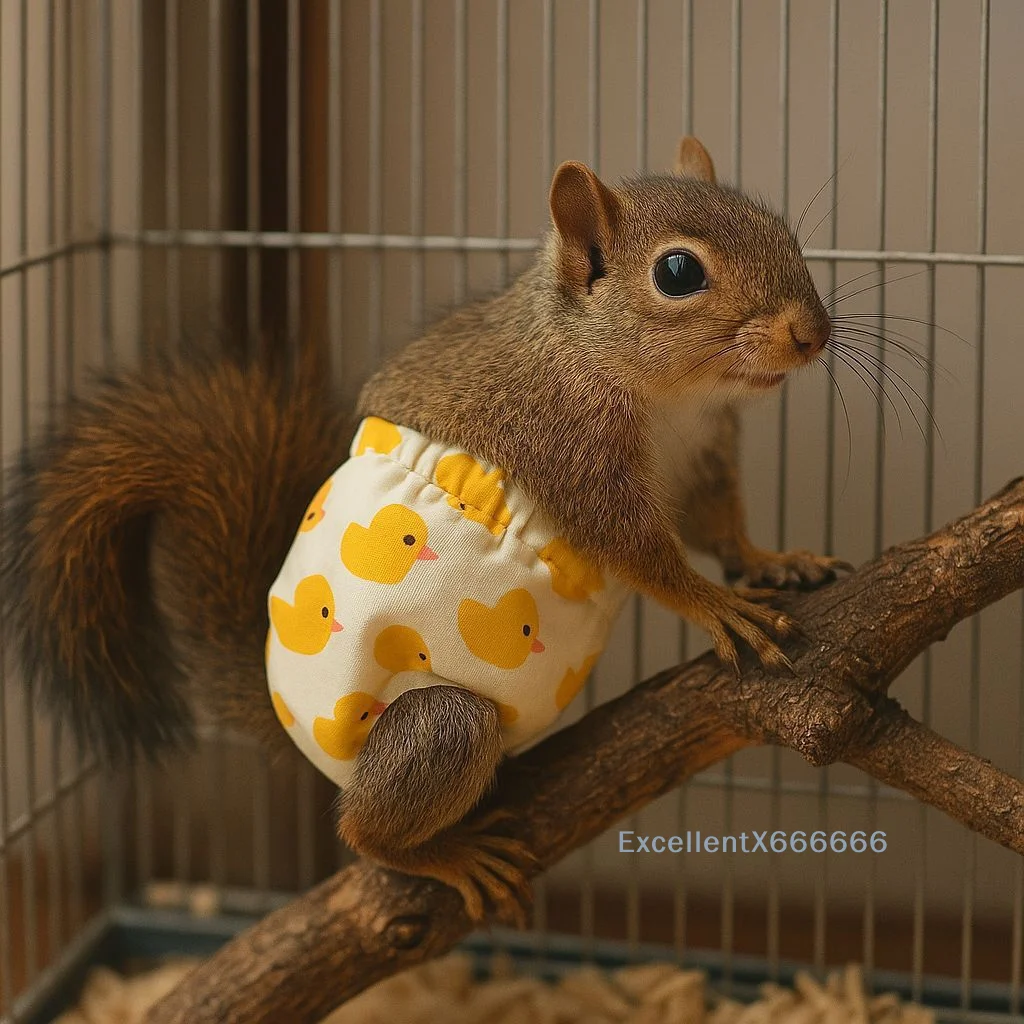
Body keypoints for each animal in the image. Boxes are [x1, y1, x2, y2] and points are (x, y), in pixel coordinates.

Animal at [2, 137, 848, 924]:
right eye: (677, 273)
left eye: (782, 230)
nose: (813, 333)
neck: (668, 396)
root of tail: (286, 715)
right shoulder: (566, 453)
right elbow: (641, 554)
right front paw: (716, 605)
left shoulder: (704, 453)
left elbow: (719, 526)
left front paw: (771, 559)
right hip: (441, 726)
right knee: (364, 830)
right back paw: (439, 855)